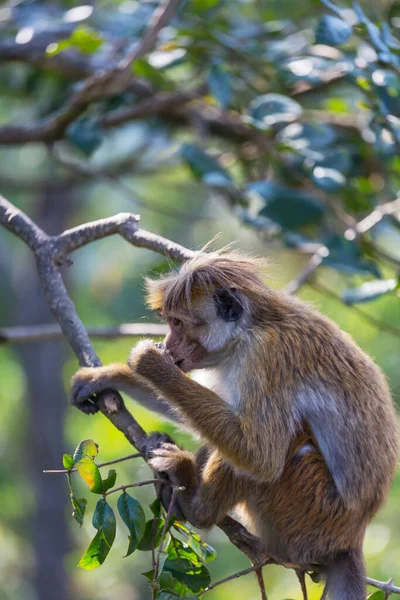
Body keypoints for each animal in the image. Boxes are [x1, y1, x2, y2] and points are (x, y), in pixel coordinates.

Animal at [70, 251, 398, 596]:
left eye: (177, 323)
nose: (169, 344)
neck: (249, 330)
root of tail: (351, 540)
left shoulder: (265, 355)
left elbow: (261, 457)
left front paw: (150, 363)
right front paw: (108, 376)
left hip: (312, 514)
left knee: (283, 446)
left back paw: (195, 504)